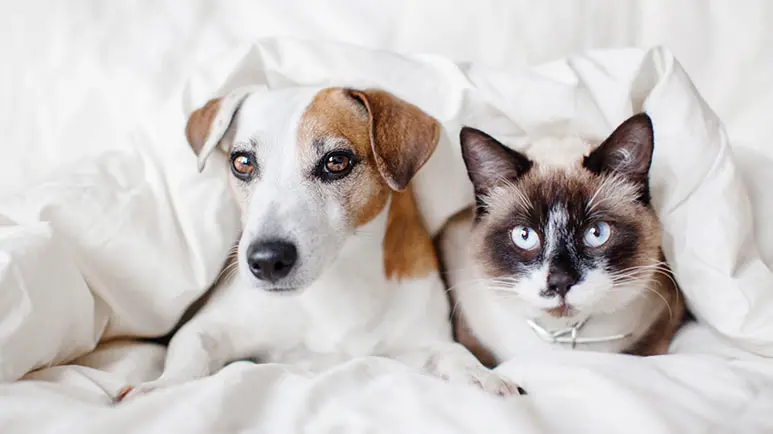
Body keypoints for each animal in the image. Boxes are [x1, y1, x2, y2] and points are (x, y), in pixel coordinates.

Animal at [116, 86, 520, 402]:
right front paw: (160, 387)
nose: (266, 260)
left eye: (336, 161)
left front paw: (481, 375)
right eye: (242, 162)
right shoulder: (210, 328)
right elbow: (190, 354)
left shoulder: (418, 342)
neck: (334, 288)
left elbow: (452, 353)